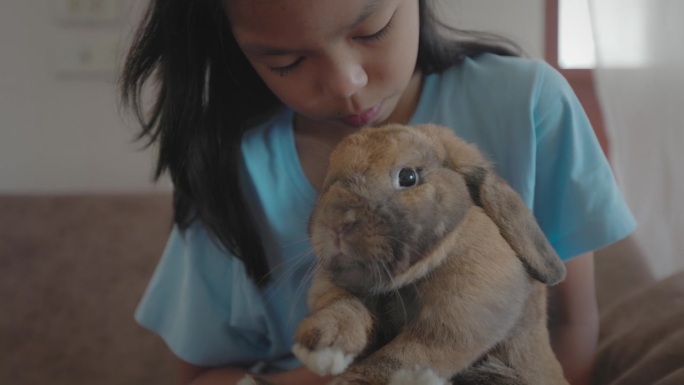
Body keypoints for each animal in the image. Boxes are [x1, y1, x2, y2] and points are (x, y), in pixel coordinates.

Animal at [292, 124, 568, 384]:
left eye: (408, 177)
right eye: (330, 177)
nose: (334, 221)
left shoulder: (461, 315)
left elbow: (407, 355)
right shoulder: (340, 293)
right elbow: (345, 308)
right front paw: (322, 345)